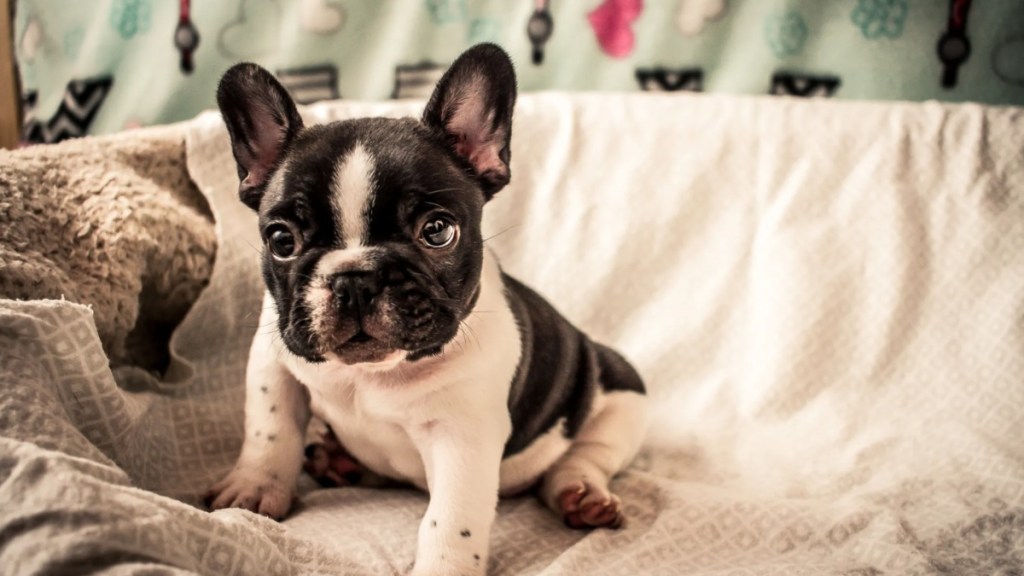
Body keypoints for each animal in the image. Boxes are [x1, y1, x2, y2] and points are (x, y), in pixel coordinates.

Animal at [203, 42, 643, 569]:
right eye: (281, 240)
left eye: (437, 231)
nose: (355, 279)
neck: (373, 374)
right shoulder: (274, 363)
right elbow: (270, 430)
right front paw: (255, 486)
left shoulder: (464, 436)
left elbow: (451, 518)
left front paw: (444, 566)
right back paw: (340, 462)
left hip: (622, 397)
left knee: (588, 452)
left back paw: (579, 493)